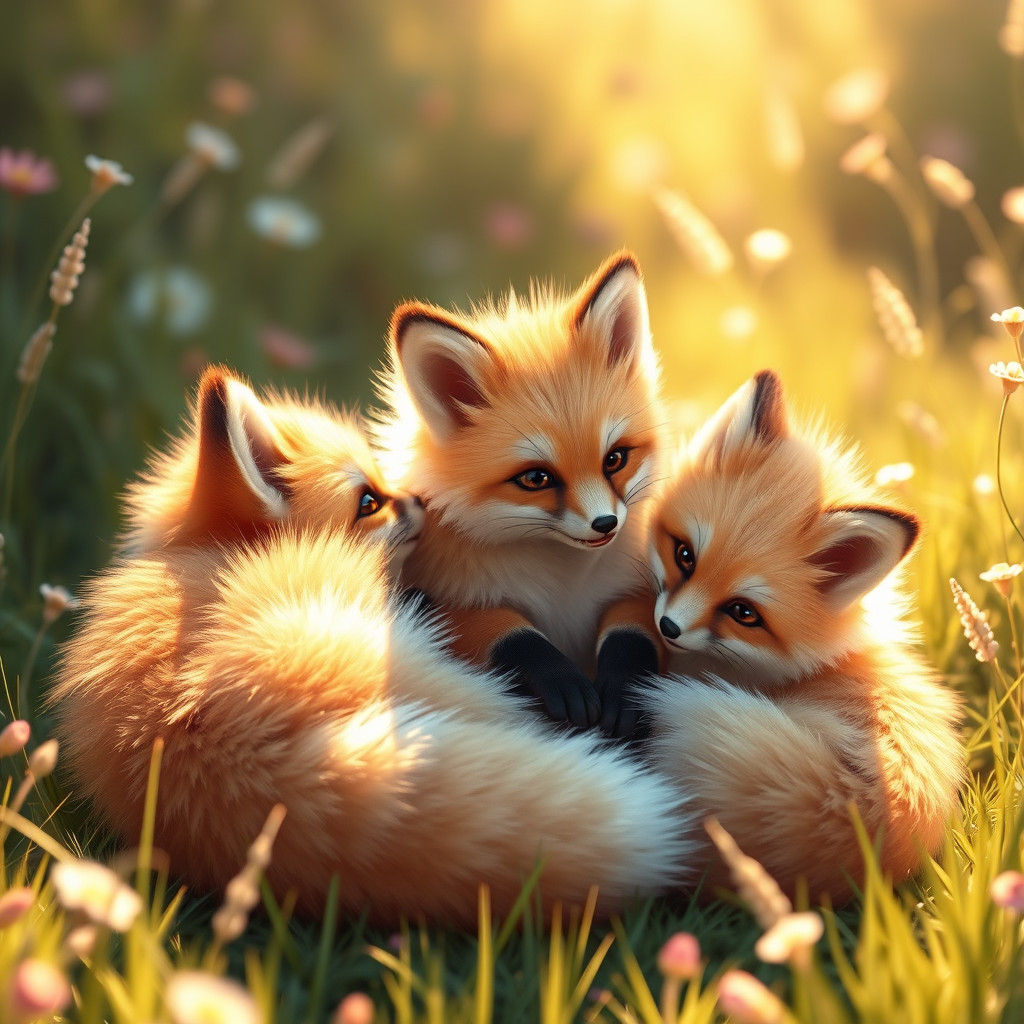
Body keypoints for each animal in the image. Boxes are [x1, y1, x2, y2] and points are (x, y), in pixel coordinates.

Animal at [374, 251, 666, 731]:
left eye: (615, 459)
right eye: (536, 479)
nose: (606, 524)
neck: (565, 588)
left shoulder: (639, 589)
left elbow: (632, 633)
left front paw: (624, 687)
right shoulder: (446, 597)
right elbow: (509, 635)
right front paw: (556, 677)